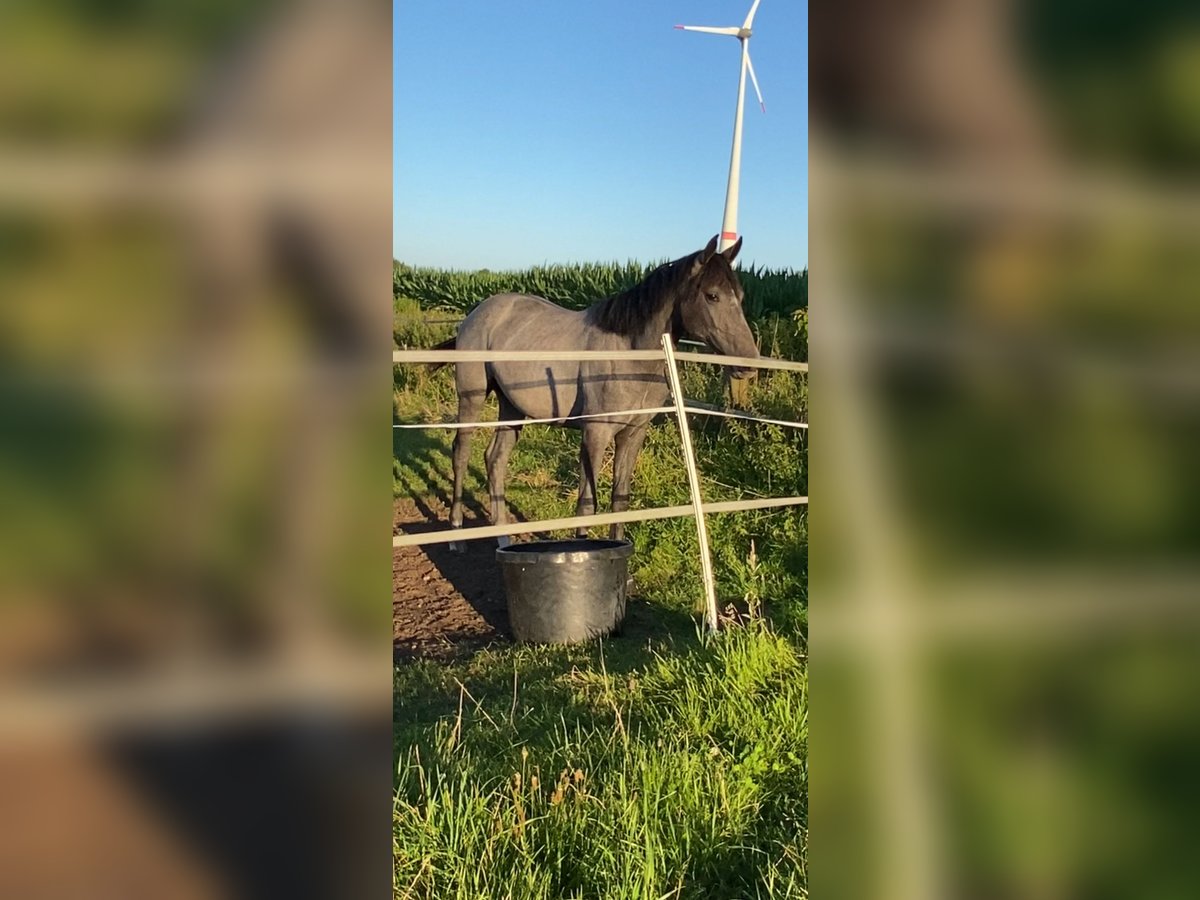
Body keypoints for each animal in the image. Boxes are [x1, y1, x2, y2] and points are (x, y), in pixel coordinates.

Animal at [434, 234, 758, 549]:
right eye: (712, 295)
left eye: (741, 297)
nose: (749, 363)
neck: (628, 353)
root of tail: (479, 311)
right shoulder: (595, 433)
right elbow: (587, 504)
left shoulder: (633, 433)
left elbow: (620, 499)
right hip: (472, 396)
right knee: (461, 452)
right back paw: (455, 535)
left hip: (512, 407)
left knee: (495, 459)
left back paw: (502, 536)